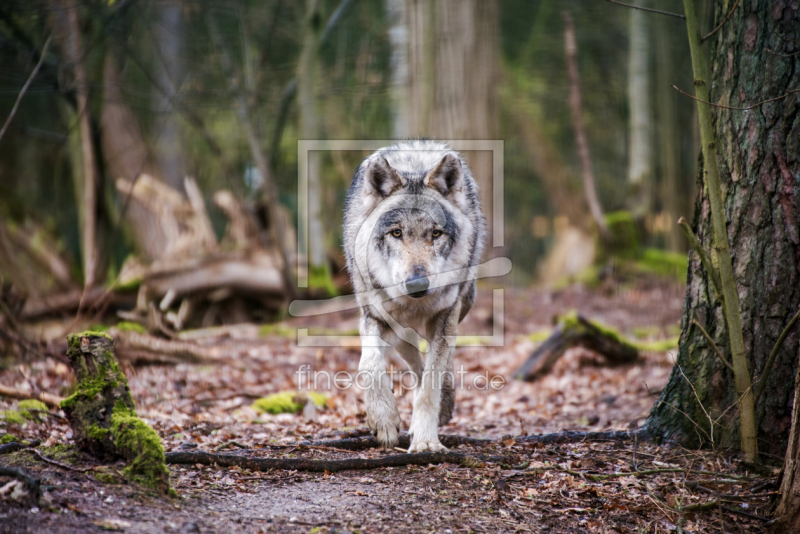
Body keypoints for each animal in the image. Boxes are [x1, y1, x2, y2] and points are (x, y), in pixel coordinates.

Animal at [340, 140, 484, 454]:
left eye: (436, 233)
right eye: (396, 233)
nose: (417, 284)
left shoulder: (445, 316)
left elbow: (431, 380)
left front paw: (426, 440)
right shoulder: (374, 316)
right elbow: (369, 365)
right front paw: (383, 419)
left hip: (461, 305)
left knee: (442, 361)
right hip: (398, 328)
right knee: (414, 359)